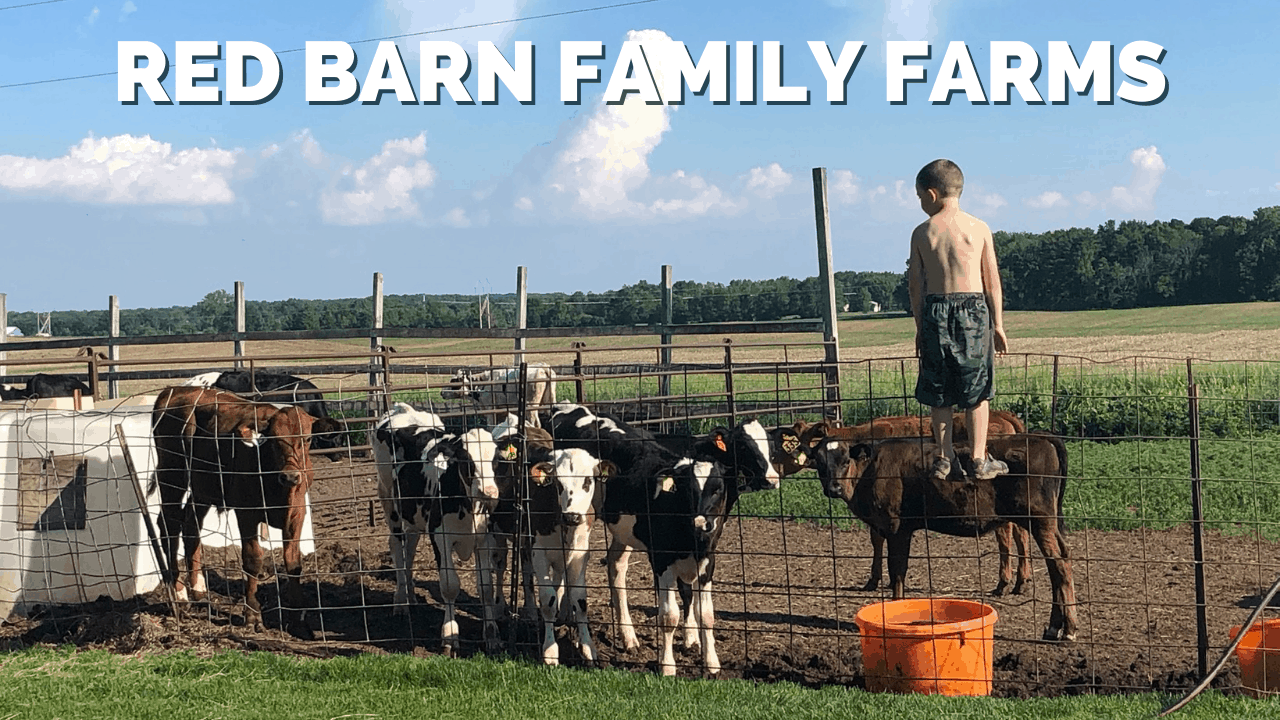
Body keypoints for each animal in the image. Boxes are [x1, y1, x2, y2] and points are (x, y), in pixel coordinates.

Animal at [814, 430, 1075, 638]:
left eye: (845, 459)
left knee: (1058, 565)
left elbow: (897, 573)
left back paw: (1067, 629)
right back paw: (1058, 626)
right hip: (1049, 522)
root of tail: (1041, 437)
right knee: (1062, 558)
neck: (871, 470)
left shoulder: (897, 528)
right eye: (819, 462)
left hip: (1039, 519)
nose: (833, 488)